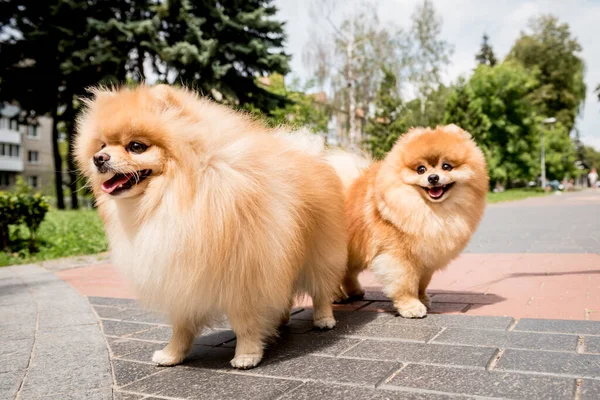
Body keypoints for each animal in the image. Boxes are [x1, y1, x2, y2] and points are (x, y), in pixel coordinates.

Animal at [75, 84, 346, 368]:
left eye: (136, 146)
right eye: (102, 145)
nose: (98, 158)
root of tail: (308, 153)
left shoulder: (246, 271)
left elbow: (245, 321)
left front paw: (247, 354)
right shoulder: (182, 276)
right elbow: (181, 325)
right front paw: (172, 354)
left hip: (319, 252)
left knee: (321, 288)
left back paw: (324, 319)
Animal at [330, 125, 490, 318]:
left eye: (446, 166)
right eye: (421, 169)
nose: (433, 178)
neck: (430, 210)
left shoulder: (426, 257)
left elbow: (422, 282)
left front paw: (423, 299)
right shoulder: (398, 256)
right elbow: (405, 283)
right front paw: (411, 307)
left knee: (348, 272)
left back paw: (355, 291)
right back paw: (336, 295)